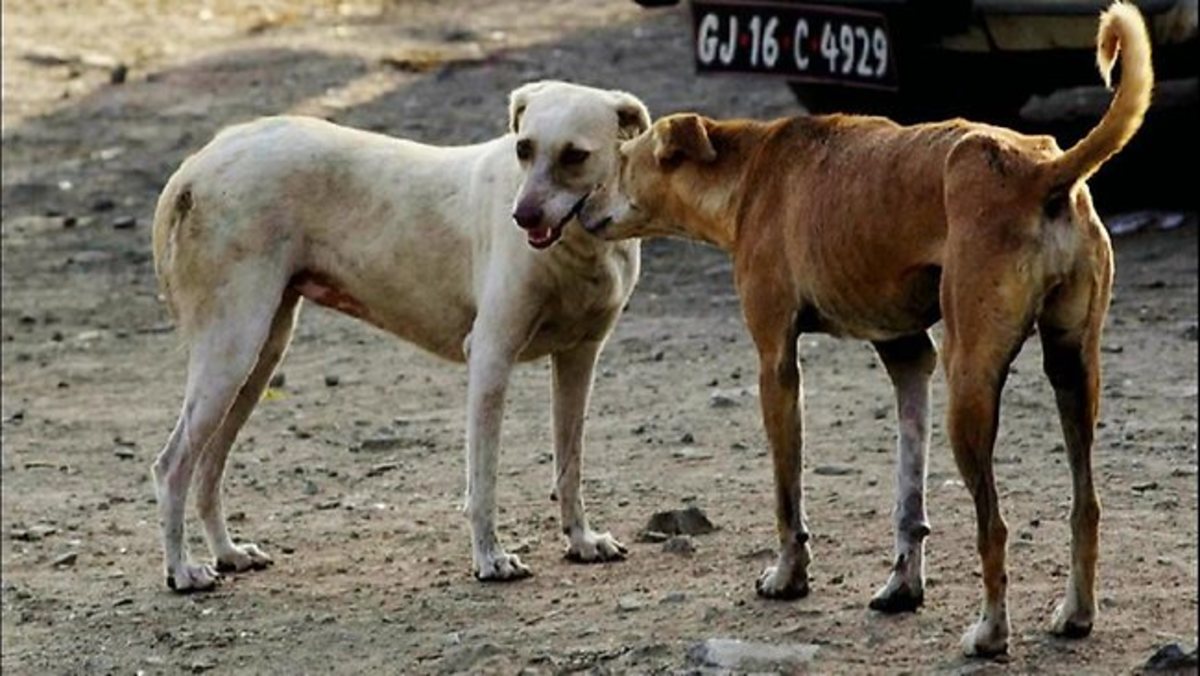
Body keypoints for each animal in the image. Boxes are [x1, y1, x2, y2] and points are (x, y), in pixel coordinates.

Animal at [154, 80, 652, 593]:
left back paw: (228, 553)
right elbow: (484, 481)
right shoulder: (490, 359)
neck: (577, 250)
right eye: (524, 148)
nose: (522, 216)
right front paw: (491, 559)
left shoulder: (580, 359)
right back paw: (182, 571)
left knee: (208, 467)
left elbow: (569, 465)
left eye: (575, 155)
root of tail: (199, 163)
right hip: (232, 354)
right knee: (172, 467)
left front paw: (582, 541)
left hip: (259, 360)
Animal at [580, 2, 1152, 657]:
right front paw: (903, 585)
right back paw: (1076, 613)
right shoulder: (907, 356)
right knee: (1087, 506)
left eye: (622, 164)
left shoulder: (776, 362)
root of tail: (1040, 167)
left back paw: (990, 630)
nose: (577, 210)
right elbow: (909, 498)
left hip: (971, 381)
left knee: (995, 525)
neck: (751, 169)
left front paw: (789, 577)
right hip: (1072, 371)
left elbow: (788, 494)